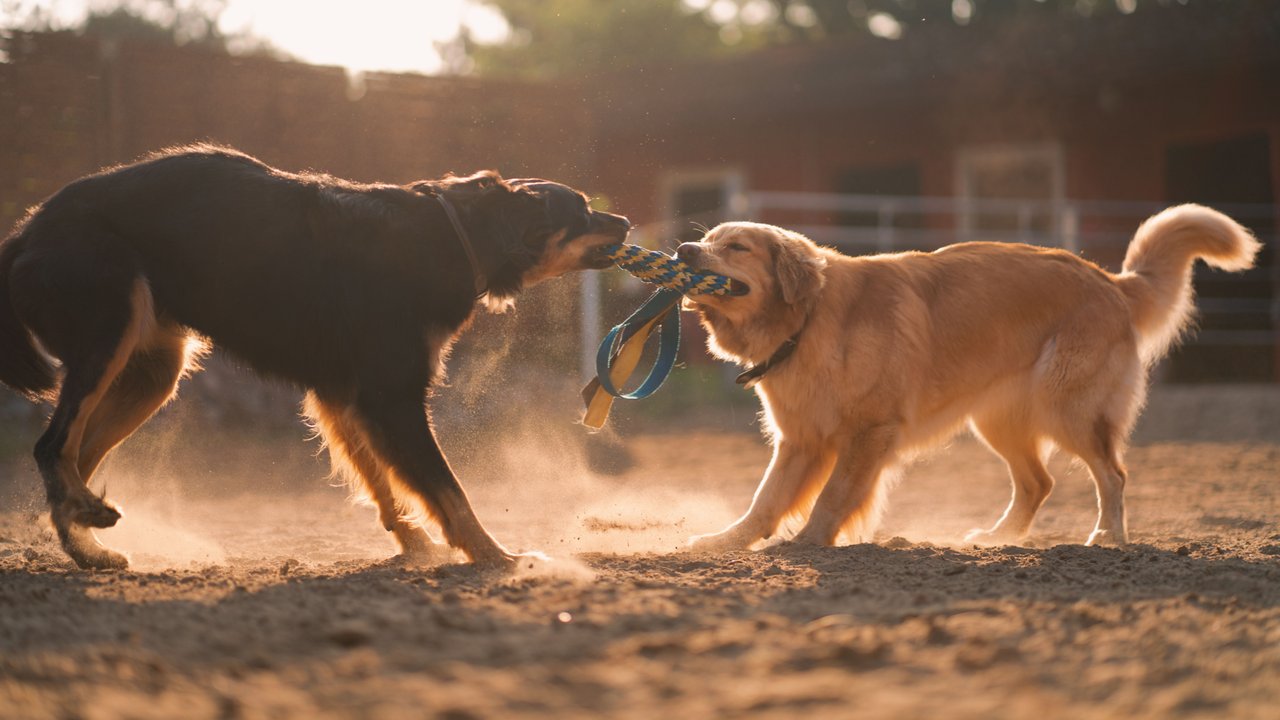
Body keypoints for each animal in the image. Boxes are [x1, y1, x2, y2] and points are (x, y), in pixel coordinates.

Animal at [0, 146, 629, 566]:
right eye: (581, 209)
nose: (623, 219)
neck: (454, 235)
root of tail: (27, 231)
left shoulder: (345, 397)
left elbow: (381, 480)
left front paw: (413, 542)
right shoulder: (391, 397)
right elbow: (447, 488)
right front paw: (496, 556)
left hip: (154, 371)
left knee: (73, 455)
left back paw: (88, 544)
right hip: (110, 333)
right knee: (51, 446)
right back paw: (87, 523)